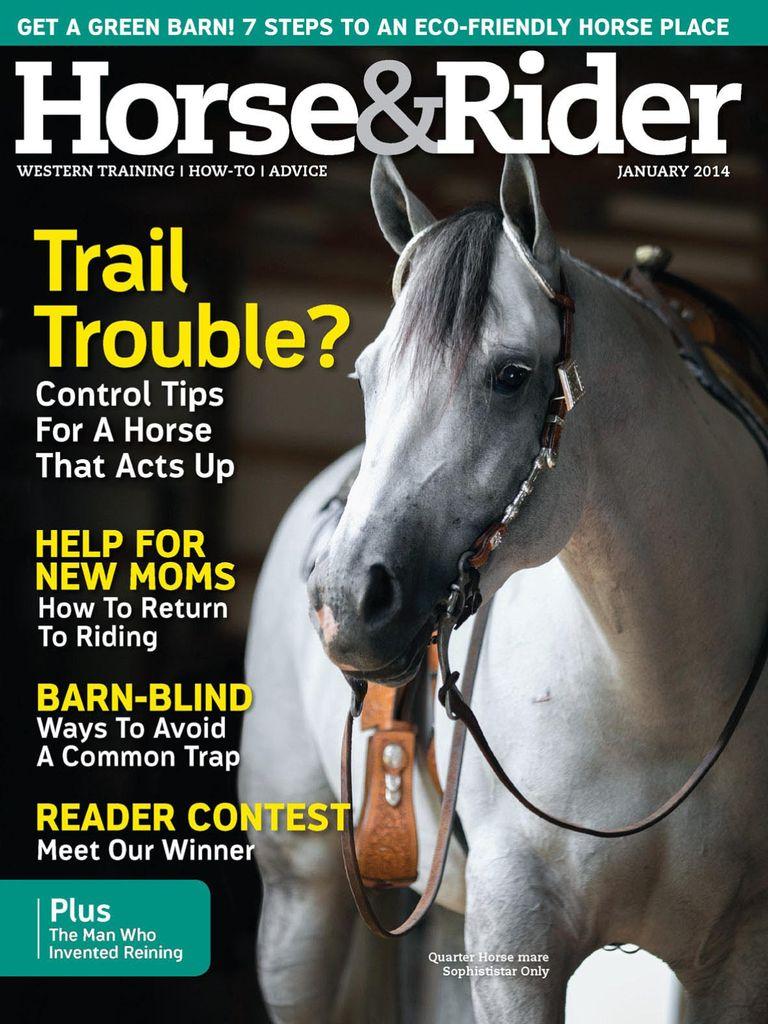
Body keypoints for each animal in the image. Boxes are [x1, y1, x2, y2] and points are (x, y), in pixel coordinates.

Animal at [239, 154, 768, 1024]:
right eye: (366, 374)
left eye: (513, 376)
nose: (347, 601)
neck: (658, 697)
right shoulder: (515, 933)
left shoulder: (735, 955)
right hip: (303, 895)